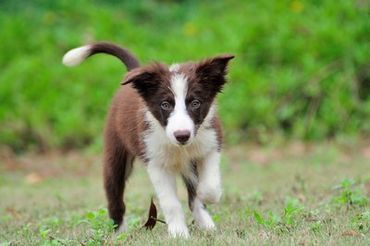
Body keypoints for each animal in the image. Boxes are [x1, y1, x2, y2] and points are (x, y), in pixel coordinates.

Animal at [61, 42, 233, 238]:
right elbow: (170, 202)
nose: (182, 135)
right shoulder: (155, 161)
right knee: (115, 197)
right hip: (116, 155)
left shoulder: (211, 144)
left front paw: (204, 195)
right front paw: (178, 233)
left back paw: (207, 224)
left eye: (195, 103)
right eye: (165, 105)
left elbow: (210, 185)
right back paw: (119, 232)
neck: (179, 147)